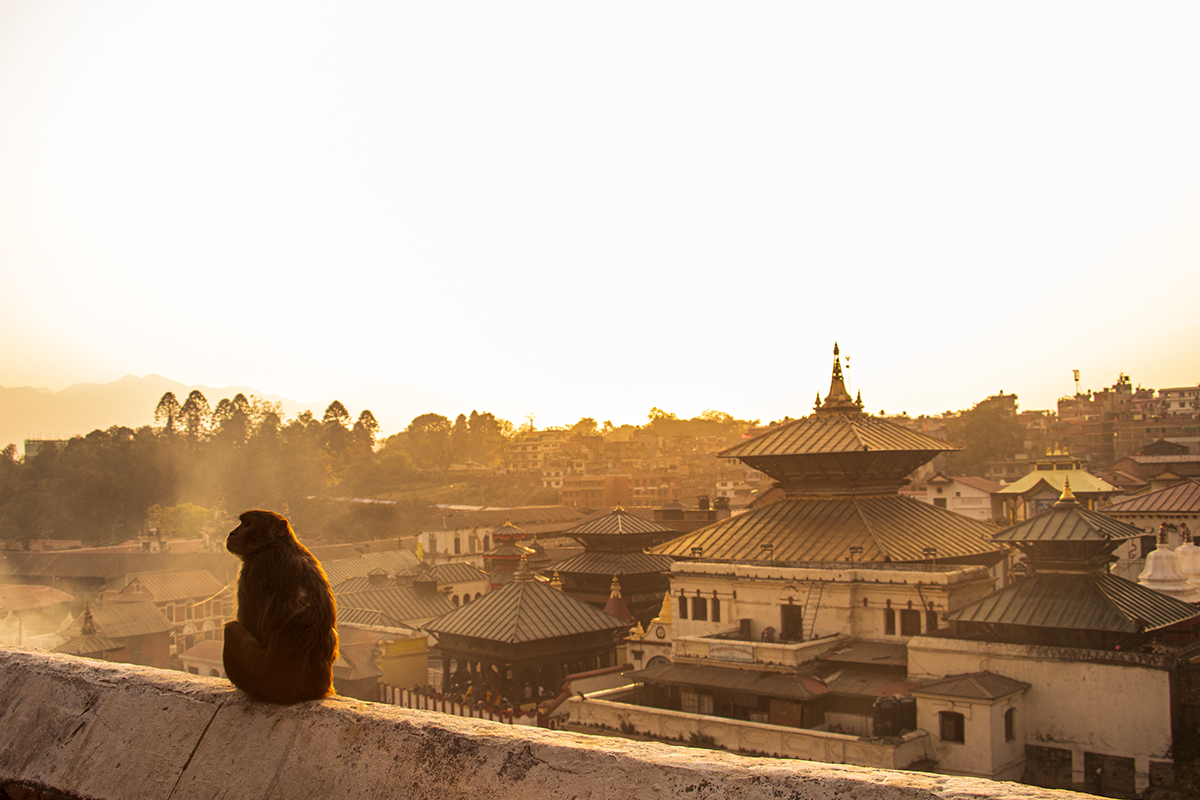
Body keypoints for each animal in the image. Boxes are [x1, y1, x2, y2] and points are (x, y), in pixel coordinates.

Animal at [223, 510, 338, 705]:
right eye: (242, 523)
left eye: (247, 524)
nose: (232, 533)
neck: (277, 544)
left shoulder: (253, 569)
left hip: (261, 679)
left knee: (231, 629)